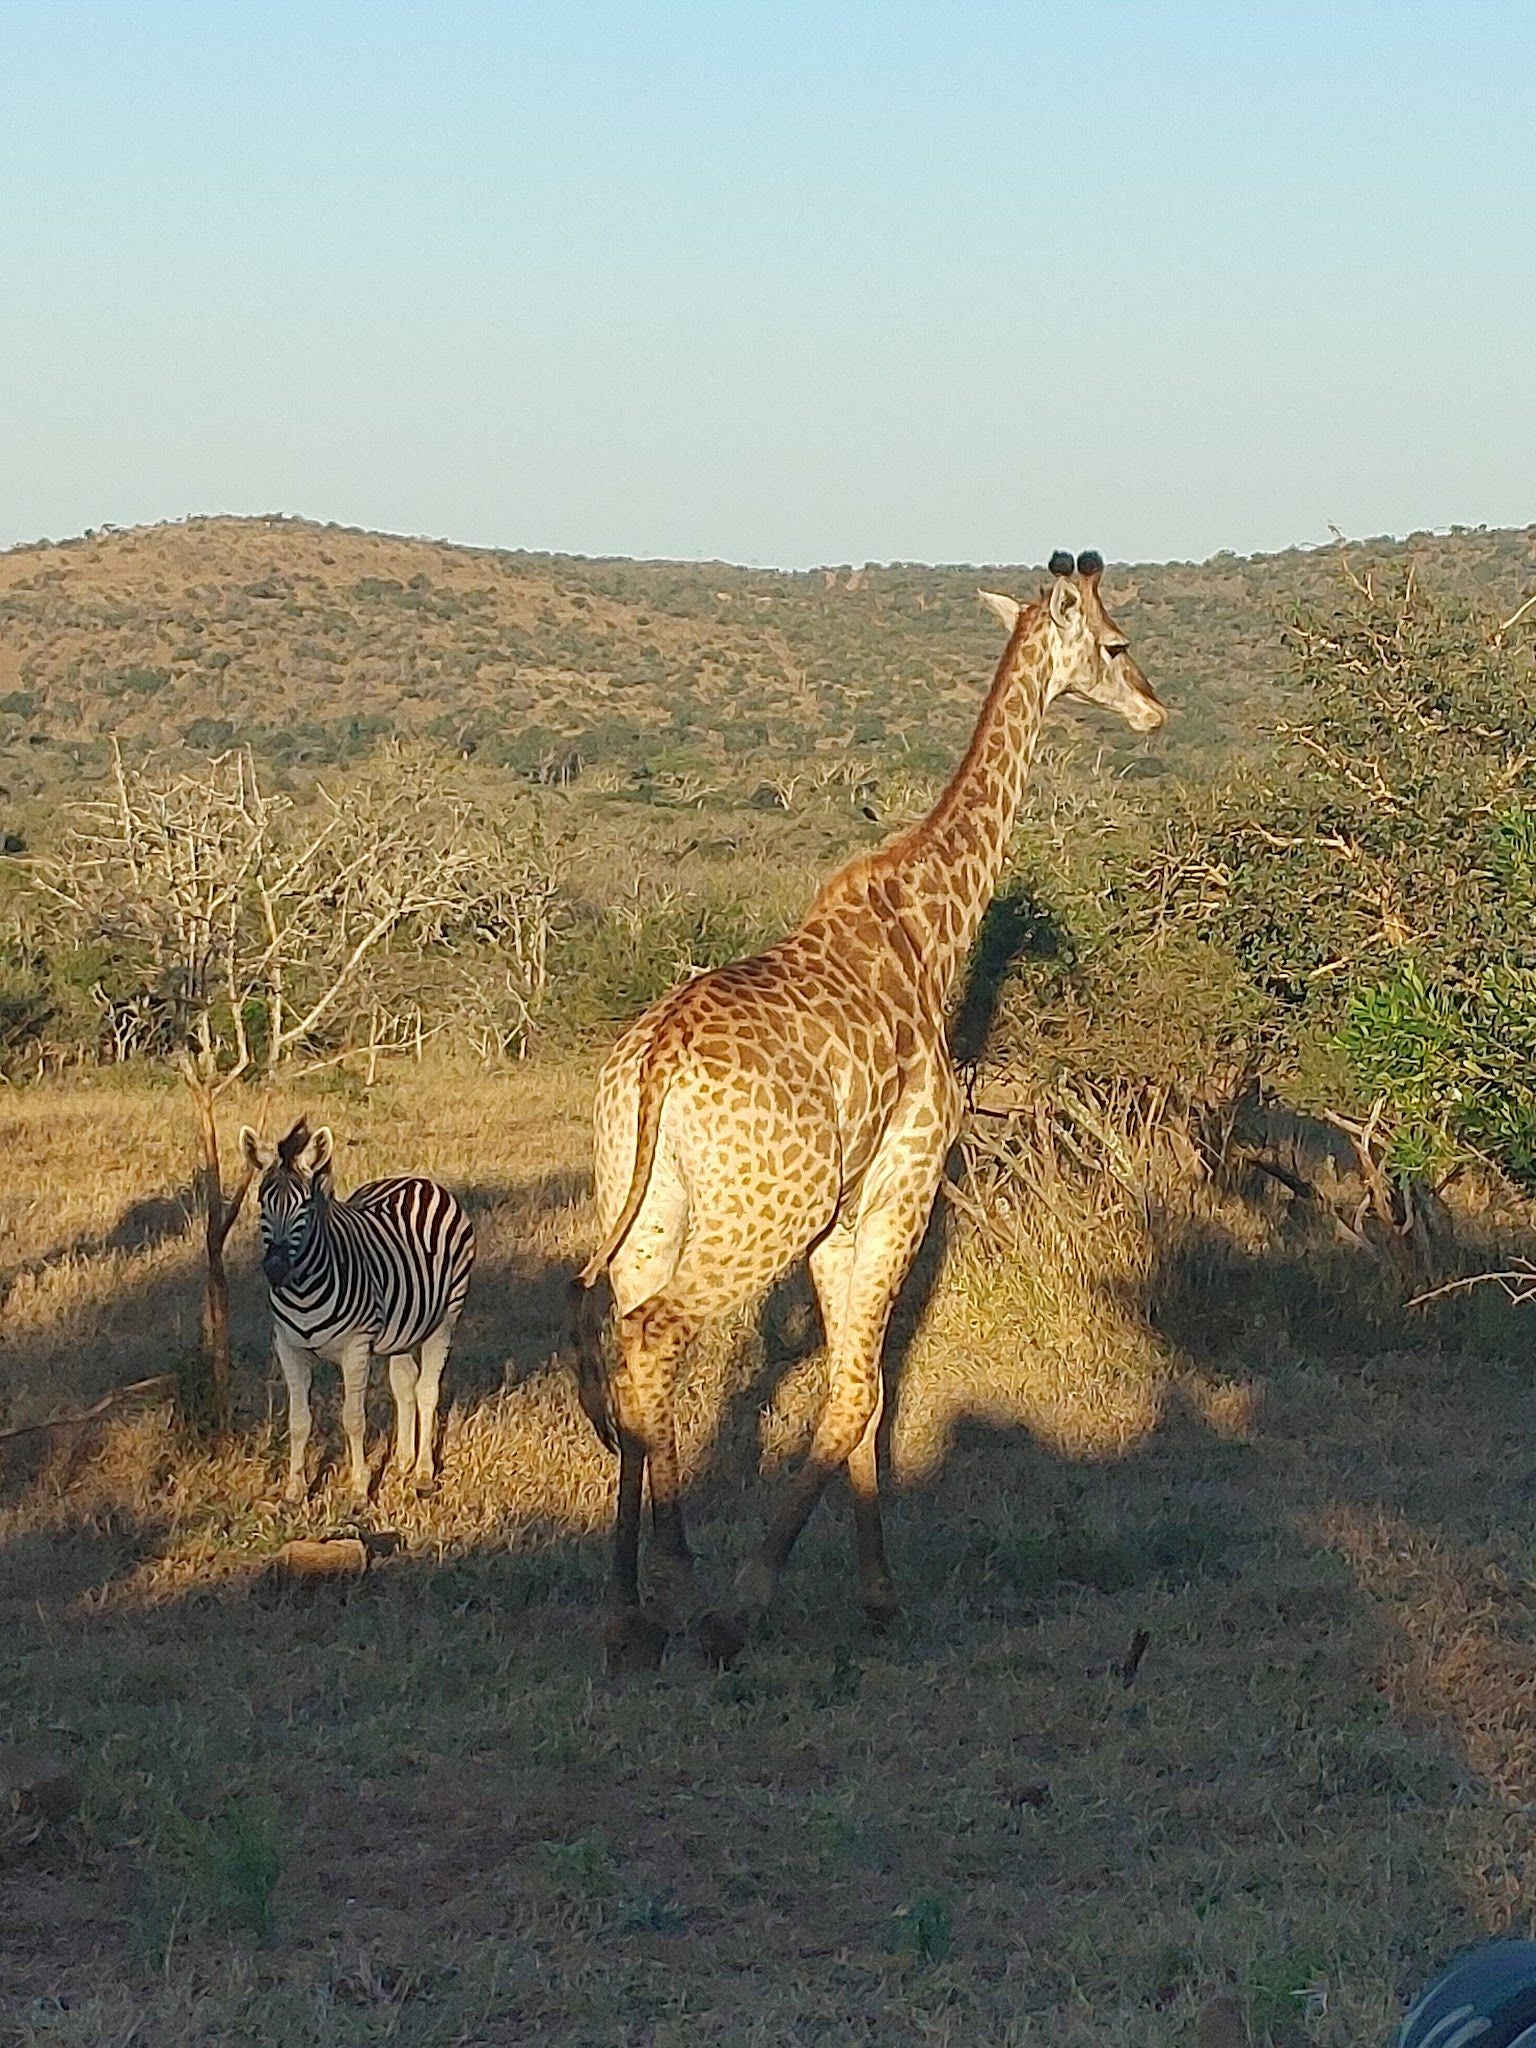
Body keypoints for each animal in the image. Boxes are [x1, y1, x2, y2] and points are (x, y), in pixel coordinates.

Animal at [241, 1122, 475, 1507]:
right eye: (262, 1202)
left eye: (305, 1207)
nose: (276, 1270)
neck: (303, 1289)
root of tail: (417, 1180)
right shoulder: (288, 1347)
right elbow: (299, 1419)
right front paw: (294, 1490)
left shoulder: (356, 1346)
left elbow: (353, 1418)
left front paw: (359, 1489)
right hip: (403, 1327)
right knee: (404, 1383)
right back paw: (404, 1460)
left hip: (445, 1317)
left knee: (427, 1389)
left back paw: (424, 1473)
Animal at [573, 552, 1163, 1671]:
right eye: (1116, 645)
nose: (1156, 707)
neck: (932, 925)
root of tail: (657, 1058)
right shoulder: (897, 1191)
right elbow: (856, 1396)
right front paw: (758, 1597)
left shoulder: (841, 1223)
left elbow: (867, 1391)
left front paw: (877, 1590)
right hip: (760, 1214)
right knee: (662, 1334)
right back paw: (679, 1584)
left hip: (646, 1201)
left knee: (625, 1336)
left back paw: (629, 1597)